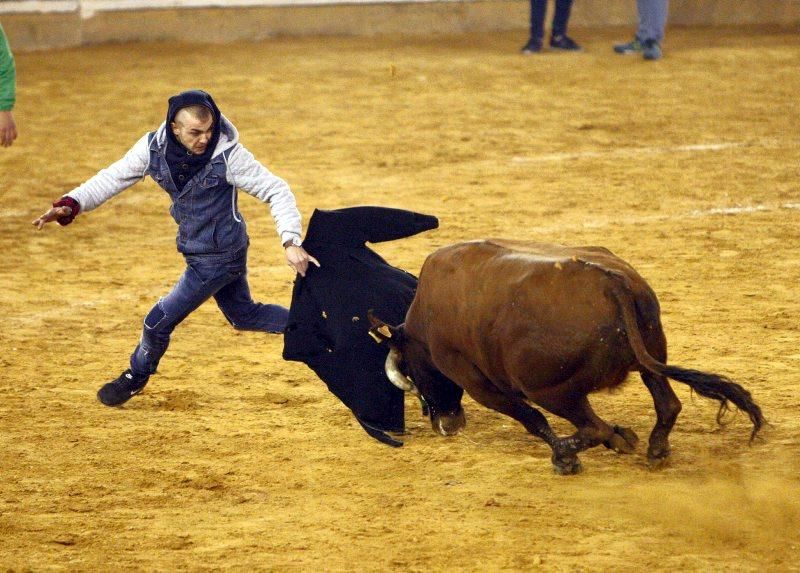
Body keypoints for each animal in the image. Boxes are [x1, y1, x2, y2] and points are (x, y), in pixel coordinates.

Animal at [368, 238, 764, 474]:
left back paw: (565, 456)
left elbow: (531, 420)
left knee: (590, 425)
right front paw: (624, 437)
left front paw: (576, 453)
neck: (425, 317)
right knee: (667, 404)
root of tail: (611, 283)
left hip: (550, 390)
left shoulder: (481, 385)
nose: (446, 426)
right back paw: (653, 449)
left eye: (413, 372)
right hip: (651, 355)